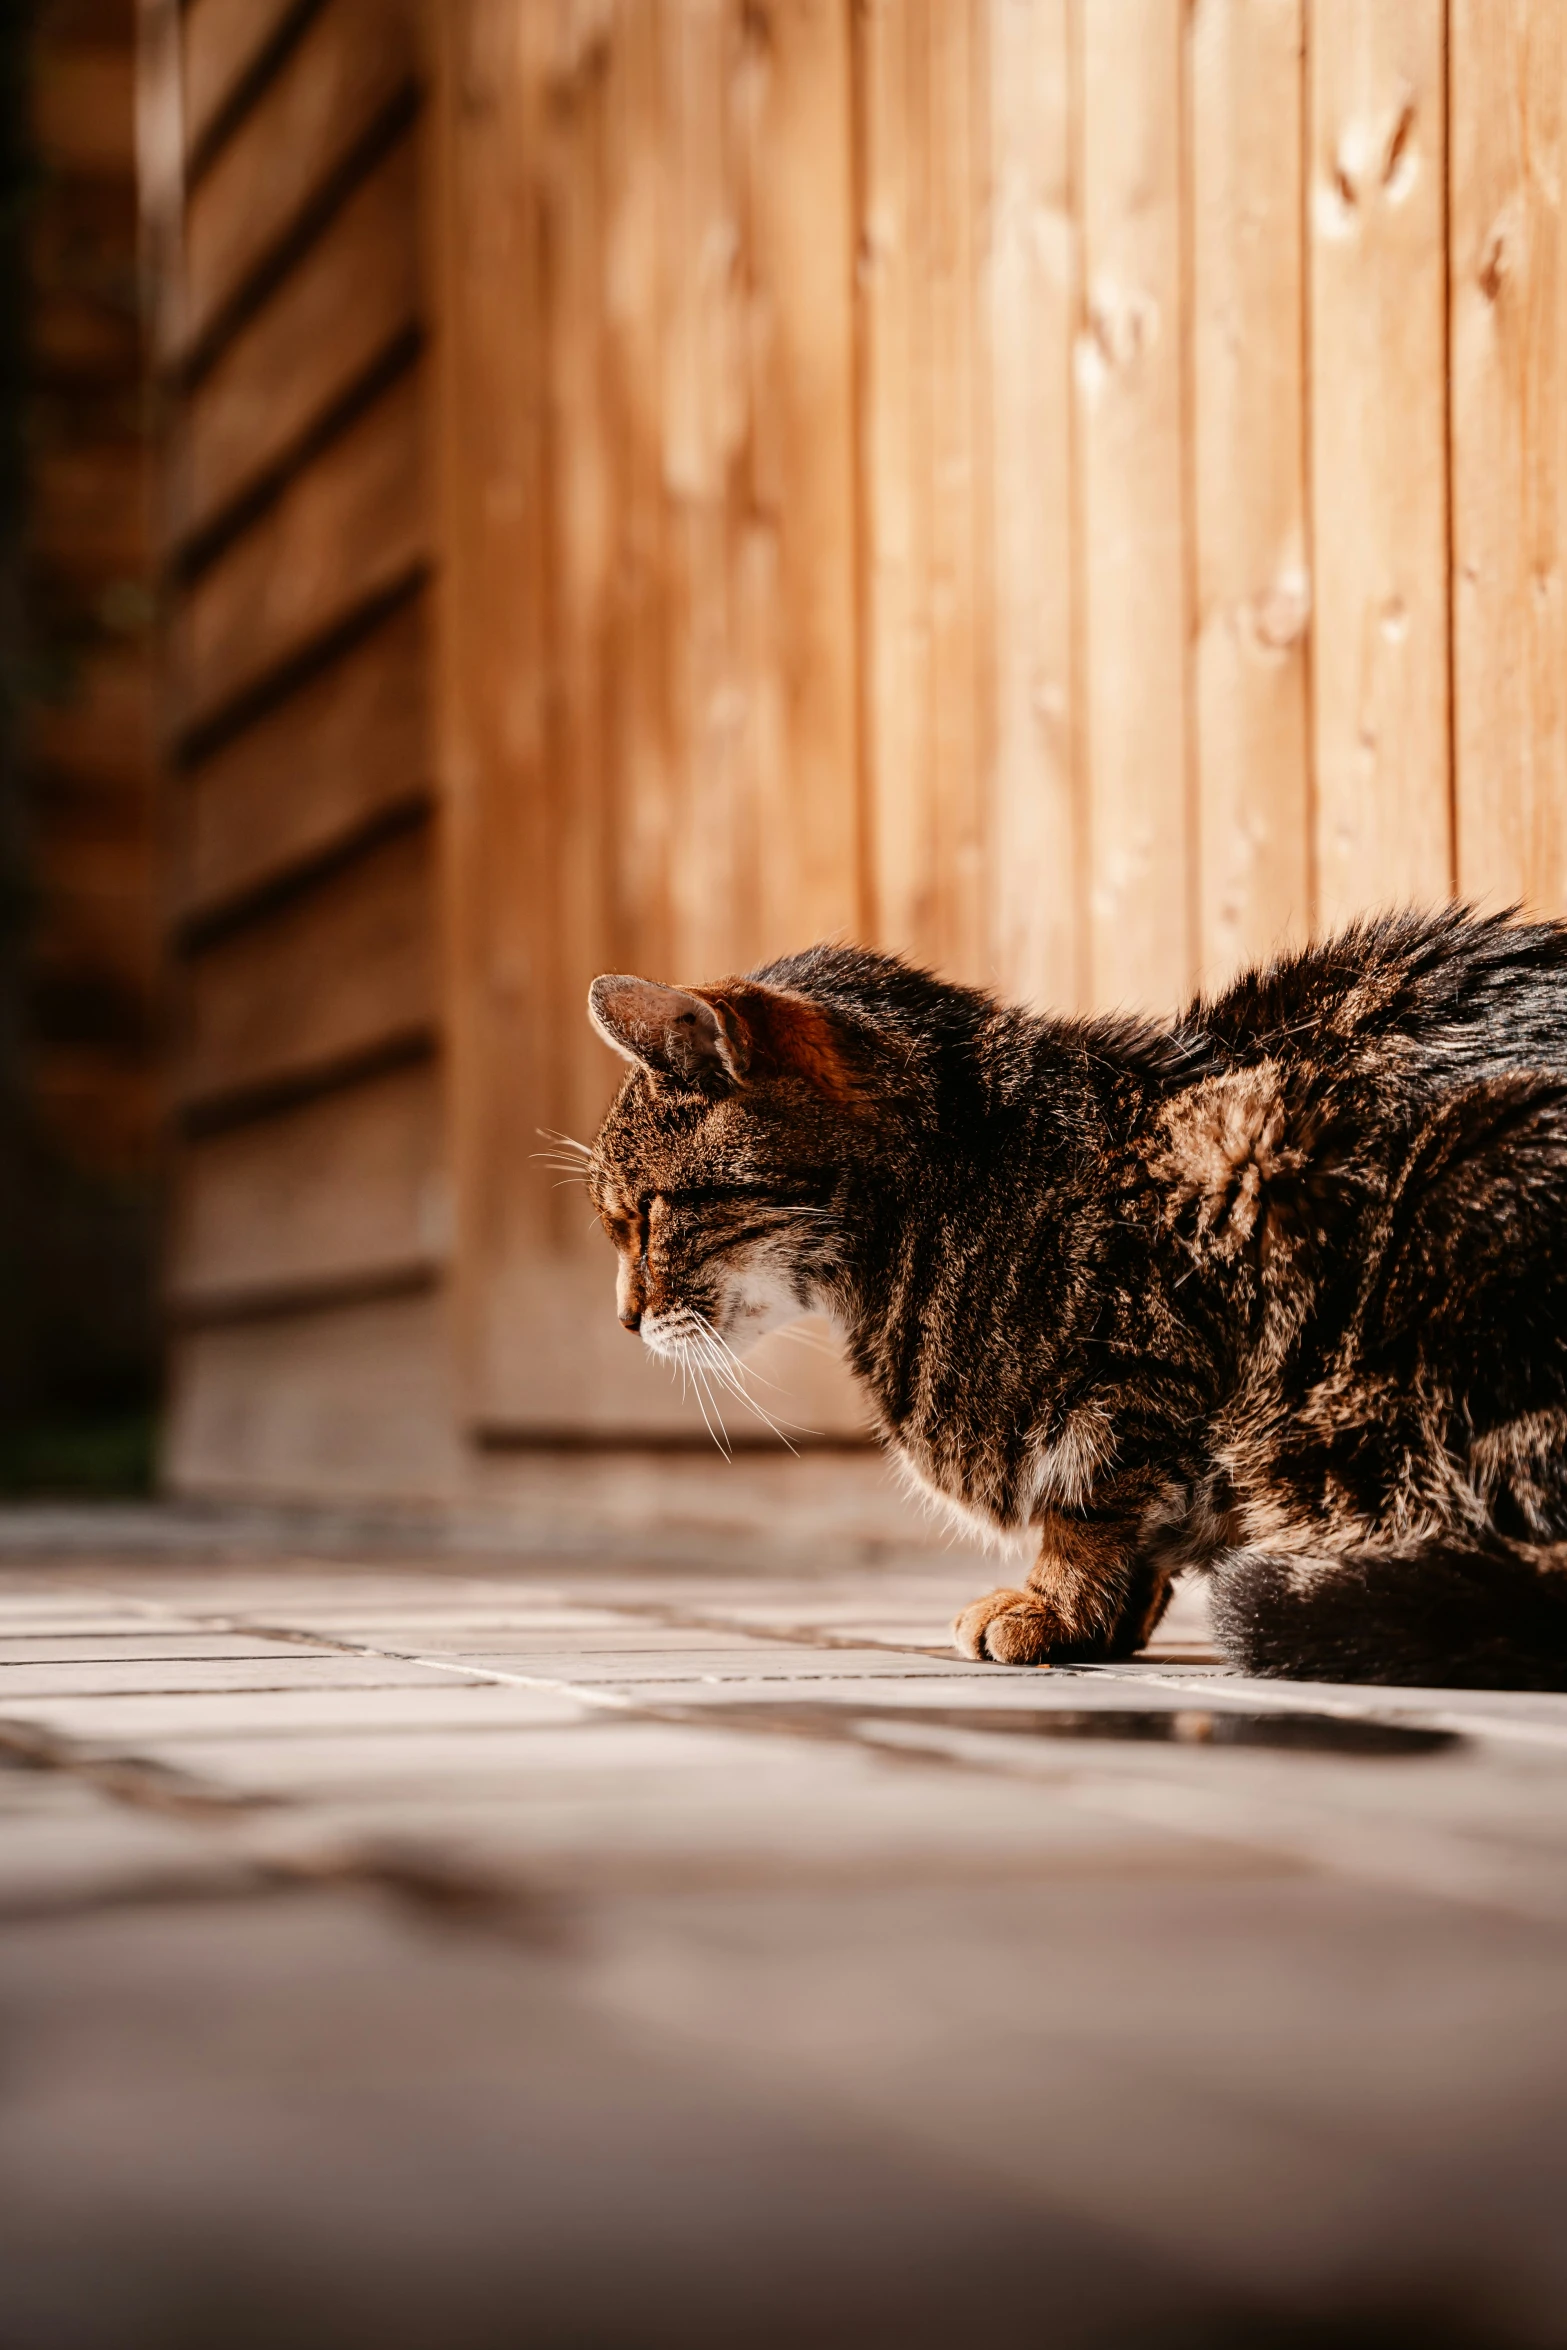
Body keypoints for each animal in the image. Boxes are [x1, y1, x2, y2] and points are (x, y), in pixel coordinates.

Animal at [582, 902, 1567, 1691]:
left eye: (645, 1214)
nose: (624, 1319)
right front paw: (1116, 1618)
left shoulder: (1152, 1351)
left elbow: (1092, 1505)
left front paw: (1057, 1605)